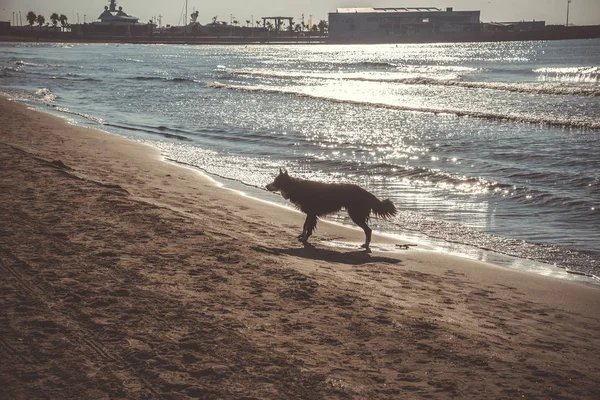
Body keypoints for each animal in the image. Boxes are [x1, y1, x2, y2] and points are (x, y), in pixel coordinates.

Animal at [264, 166, 396, 248]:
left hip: (355, 214)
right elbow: (305, 225)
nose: (266, 186)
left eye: (276, 181)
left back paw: (366, 245)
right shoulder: (310, 213)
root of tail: (367, 193)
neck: (295, 187)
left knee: (368, 230)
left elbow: (308, 227)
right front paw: (302, 236)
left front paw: (305, 239)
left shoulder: (312, 213)